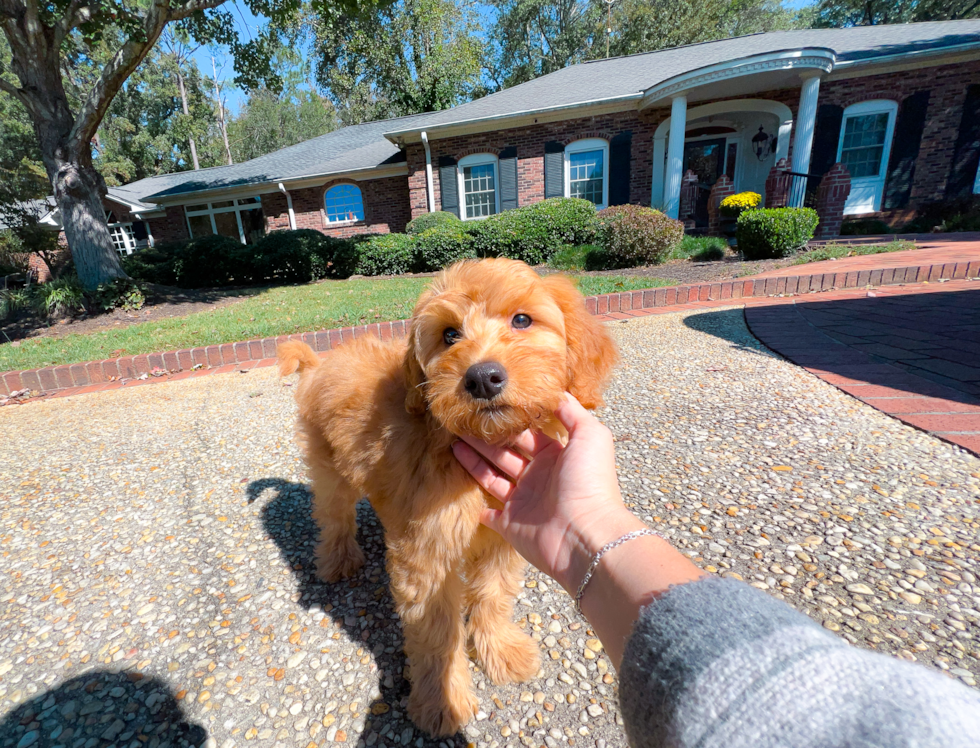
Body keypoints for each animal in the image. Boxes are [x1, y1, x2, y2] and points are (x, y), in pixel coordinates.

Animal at [278, 258, 612, 736]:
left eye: (522, 320)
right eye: (450, 334)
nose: (483, 377)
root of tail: (319, 360)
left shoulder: (502, 537)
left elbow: (493, 595)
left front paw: (501, 652)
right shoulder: (428, 553)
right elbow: (437, 632)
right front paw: (443, 701)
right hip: (330, 472)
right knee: (334, 516)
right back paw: (339, 561)